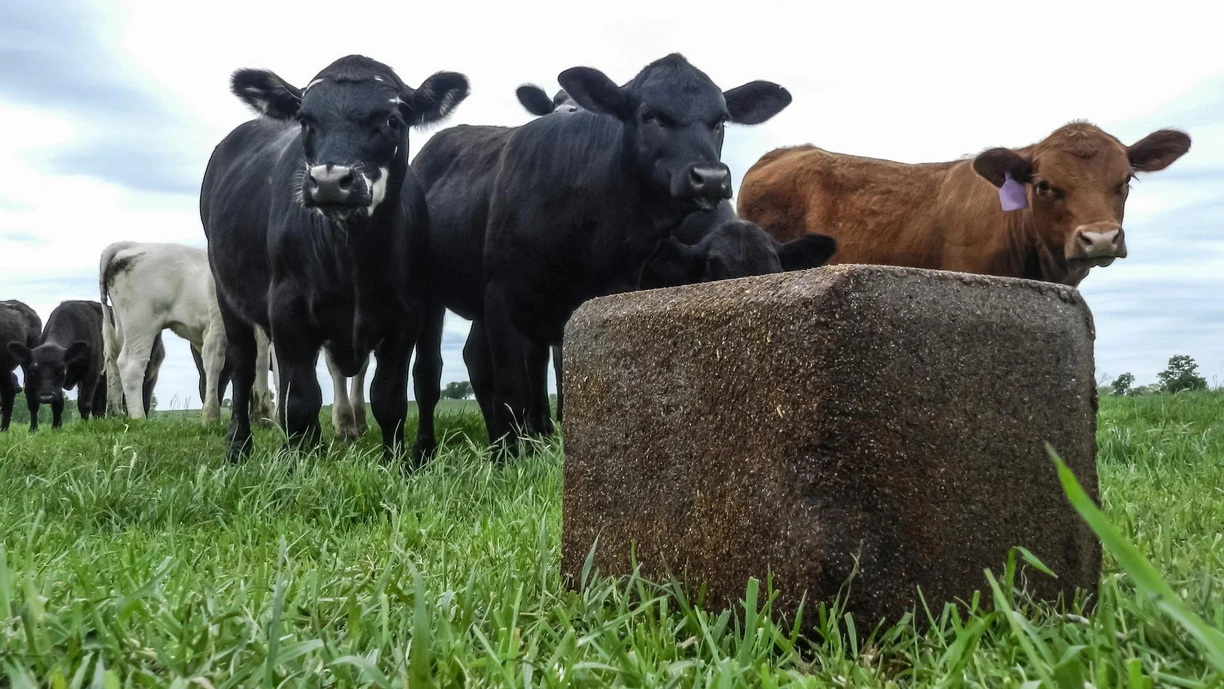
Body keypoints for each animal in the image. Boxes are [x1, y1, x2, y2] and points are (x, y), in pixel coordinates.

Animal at [7, 300, 106, 430]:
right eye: (33, 369)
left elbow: (84, 403)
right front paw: (56, 427)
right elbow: (58, 404)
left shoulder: (91, 373)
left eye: (62, 370)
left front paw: (83, 426)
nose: (46, 397)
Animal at [100, 241, 275, 425]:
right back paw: (139, 417)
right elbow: (214, 363)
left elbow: (261, 364)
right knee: (131, 364)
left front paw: (264, 417)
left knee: (114, 362)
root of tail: (131, 245)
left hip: (122, 325)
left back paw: (115, 412)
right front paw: (211, 417)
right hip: (141, 323)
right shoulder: (217, 324)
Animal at [201, 55, 469, 462]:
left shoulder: (405, 316)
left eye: (392, 120)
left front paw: (394, 462)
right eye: (305, 120)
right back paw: (238, 446)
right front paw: (300, 466)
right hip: (226, 293)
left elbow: (388, 398)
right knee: (243, 364)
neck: (352, 260)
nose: (329, 181)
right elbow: (300, 401)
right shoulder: (287, 309)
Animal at [411, 53, 793, 453]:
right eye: (649, 114)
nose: (711, 177)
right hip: (428, 293)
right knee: (429, 375)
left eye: (720, 119)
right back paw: (424, 452)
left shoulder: (611, 293)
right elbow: (514, 389)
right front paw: (509, 459)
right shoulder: (503, 295)